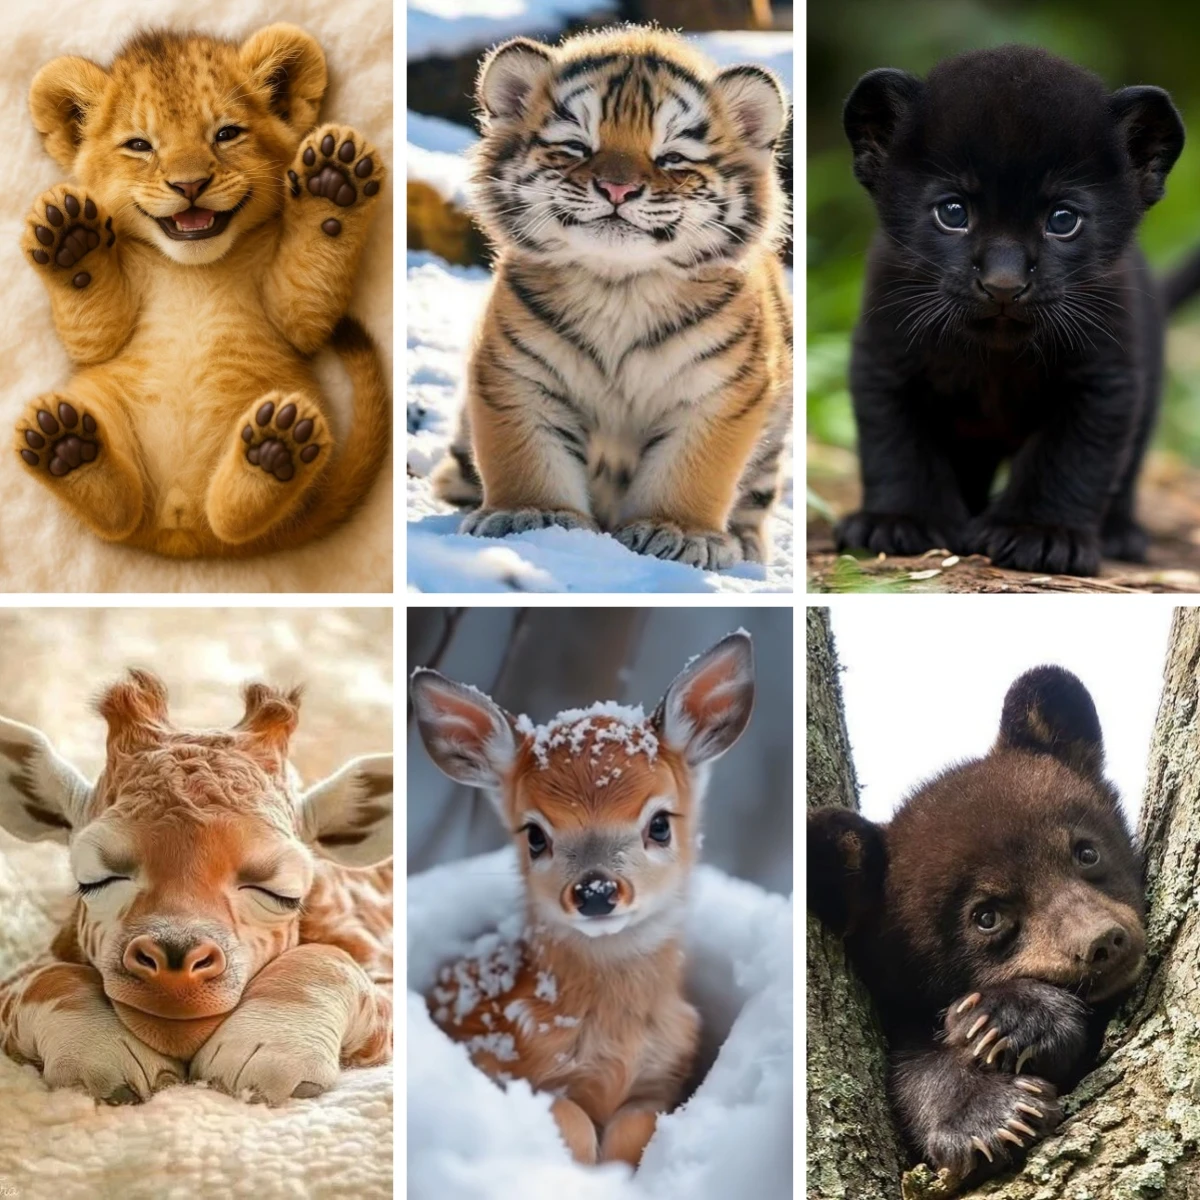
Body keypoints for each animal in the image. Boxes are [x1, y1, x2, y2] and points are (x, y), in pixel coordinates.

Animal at [808, 666, 1146, 1188]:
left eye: (1086, 852)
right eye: (986, 916)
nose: (1102, 941)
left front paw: (1007, 1017)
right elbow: (912, 1063)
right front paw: (988, 1114)